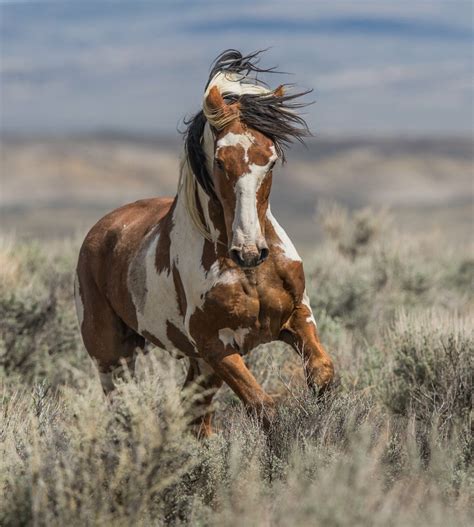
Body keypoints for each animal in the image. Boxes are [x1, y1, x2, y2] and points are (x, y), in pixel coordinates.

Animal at [74, 49, 334, 438]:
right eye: (220, 162)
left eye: (271, 160)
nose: (249, 251)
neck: (248, 274)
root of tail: (101, 229)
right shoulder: (216, 347)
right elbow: (264, 408)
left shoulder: (297, 317)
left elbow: (322, 376)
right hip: (112, 356)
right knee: (124, 411)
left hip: (199, 368)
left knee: (195, 416)